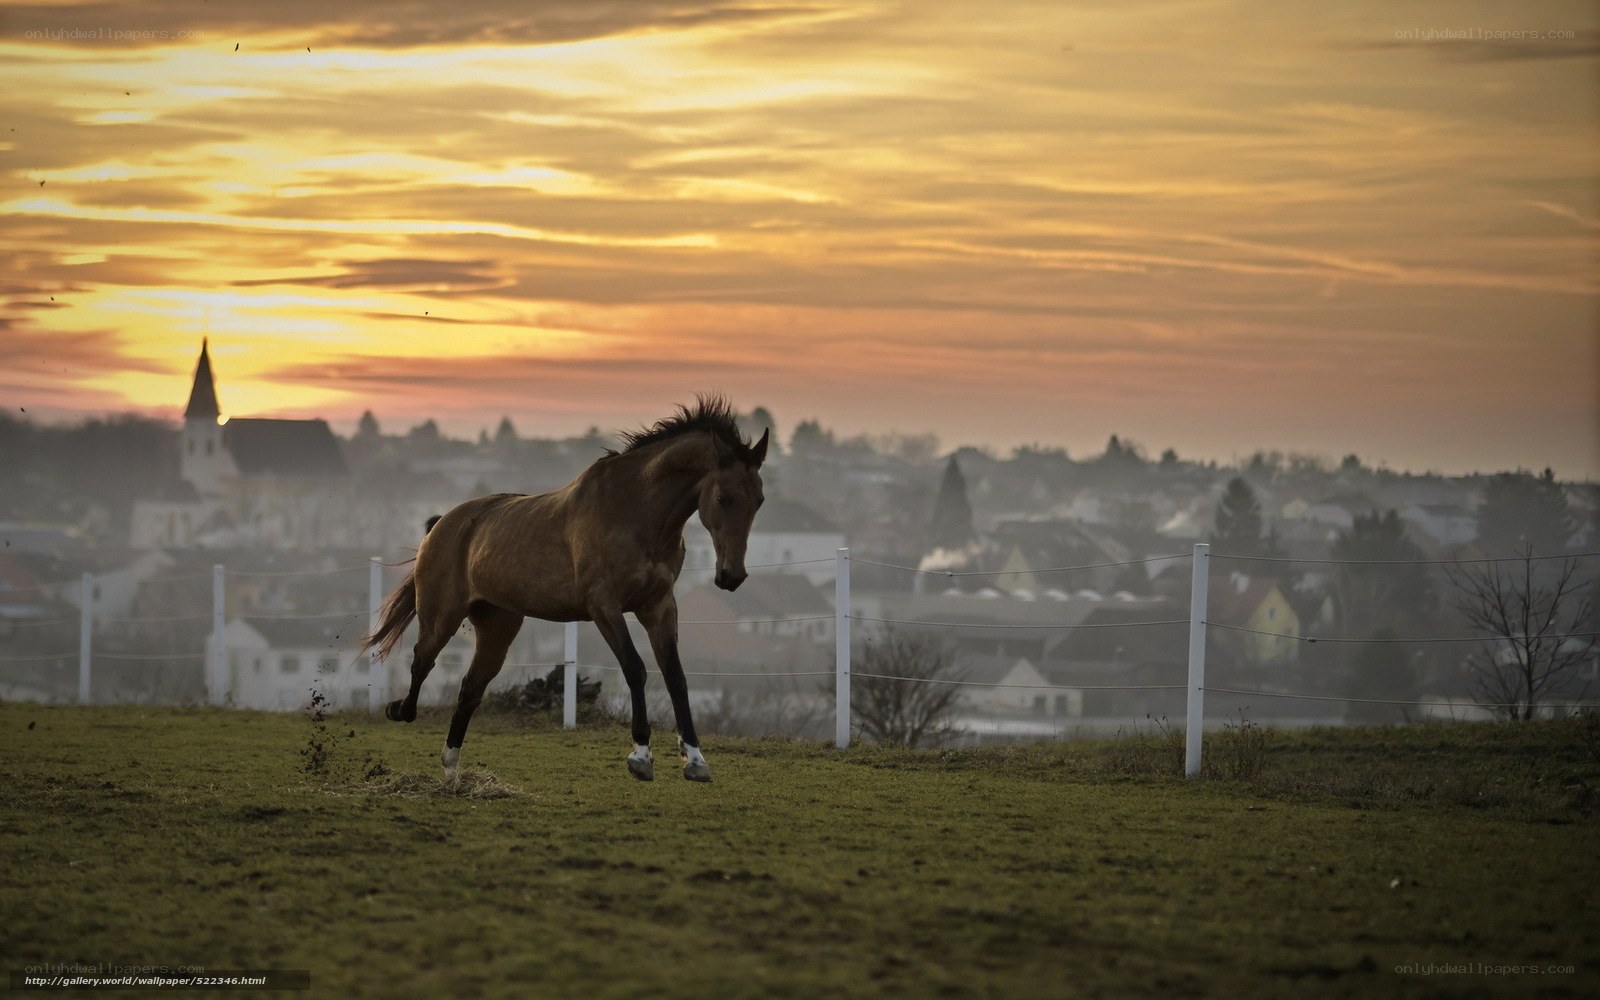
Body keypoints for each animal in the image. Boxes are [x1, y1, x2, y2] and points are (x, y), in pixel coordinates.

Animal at [361, 396, 768, 783]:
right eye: (723, 497)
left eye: (759, 500)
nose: (731, 576)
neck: (633, 513)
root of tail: (439, 525)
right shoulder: (604, 606)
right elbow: (635, 668)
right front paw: (640, 756)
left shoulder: (659, 607)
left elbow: (676, 678)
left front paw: (696, 760)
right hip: (441, 617)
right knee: (421, 661)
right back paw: (398, 710)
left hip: (497, 627)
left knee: (470, 688)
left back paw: (451, 769)